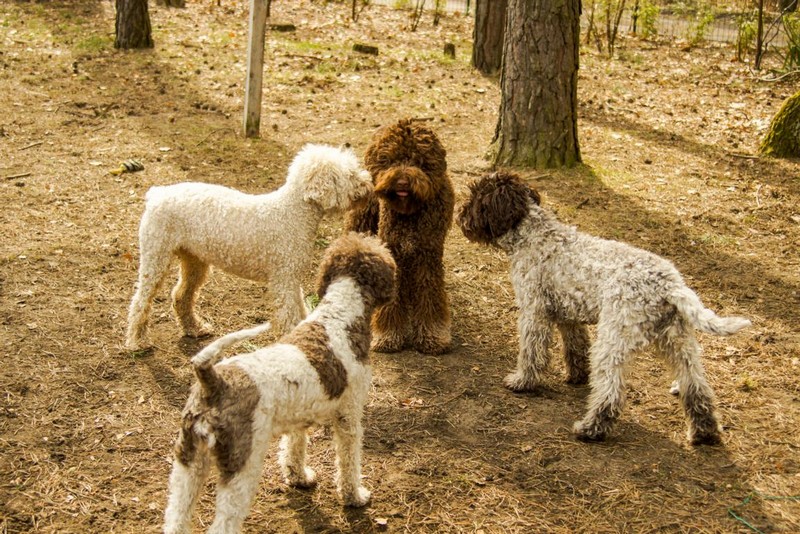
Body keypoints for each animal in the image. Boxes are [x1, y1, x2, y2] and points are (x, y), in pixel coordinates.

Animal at [125, 144, 372, 351]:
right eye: (349, 175)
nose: (368, 183)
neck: (292, 213)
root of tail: (157, 194)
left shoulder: (292, 280)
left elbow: (300, 311)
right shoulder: (284, 280)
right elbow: (289, 316)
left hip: (194, 260)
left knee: (181, 295)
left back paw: (195, 328)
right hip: (156, 256)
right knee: (140, 299)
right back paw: (137, 341)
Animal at [162, 232, 396, 534]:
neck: (339, 316)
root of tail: (213, 382)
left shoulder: (298, 419)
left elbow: (294, 448)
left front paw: (299, 478)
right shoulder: (349, 417)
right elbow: (348, 464)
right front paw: (354, 496)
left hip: (188, 463)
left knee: (175, 517)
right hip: (240, 467)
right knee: (223, 524)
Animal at [345, 119, 454, 354]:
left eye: (418, 160)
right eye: (391, 160)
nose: (403, 182)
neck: (410, 213)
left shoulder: (428, 255)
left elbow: (430, 295)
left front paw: (432, 335)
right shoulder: (393, 251)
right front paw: (388, 334)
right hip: (363, 221)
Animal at [457, 171, 751, 445]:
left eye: (476, 199)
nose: (460, 218)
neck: (533, 234)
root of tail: (668, 285)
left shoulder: (533, 312)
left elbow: (532, 353)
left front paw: (522, 381)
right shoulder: (567, 315)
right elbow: (575, 347)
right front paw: (577, 376)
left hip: (613, 341)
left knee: (612, 392)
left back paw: (591, 429)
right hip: (678, 342)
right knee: (697, 387)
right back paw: (704, 433)